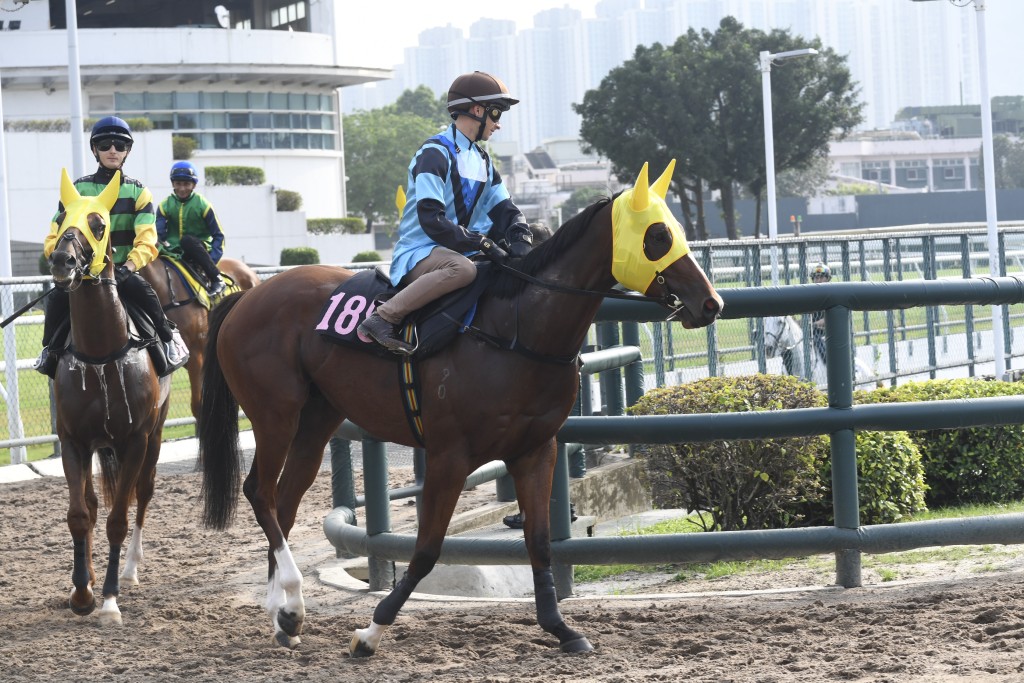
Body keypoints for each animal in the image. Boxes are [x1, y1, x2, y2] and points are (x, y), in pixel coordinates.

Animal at [49, 169, 172, 626]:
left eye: (99, 224)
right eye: (62, 218)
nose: (62, 262)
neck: (100, 355)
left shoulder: (134, 440)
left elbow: (118, 518)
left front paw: (109, 599)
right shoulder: (73, 441)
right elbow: (80, 514)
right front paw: (82, 592)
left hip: (155, 435)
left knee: (143, 492)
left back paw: (131, 569)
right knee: (90, 502)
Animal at [195, 158, 724, 651]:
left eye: (675, 230)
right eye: (658, 235)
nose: (711, 303)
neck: (515, 331)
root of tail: (248, 297)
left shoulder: (536, 451)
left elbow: (539, 543)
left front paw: (561, 628)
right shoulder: (450, 457)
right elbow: (427, 549)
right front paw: (371, 631)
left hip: (317, 418)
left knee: (284, 500)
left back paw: (285, 614)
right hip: (275, 415)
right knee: (260, 493)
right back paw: (290, 600)